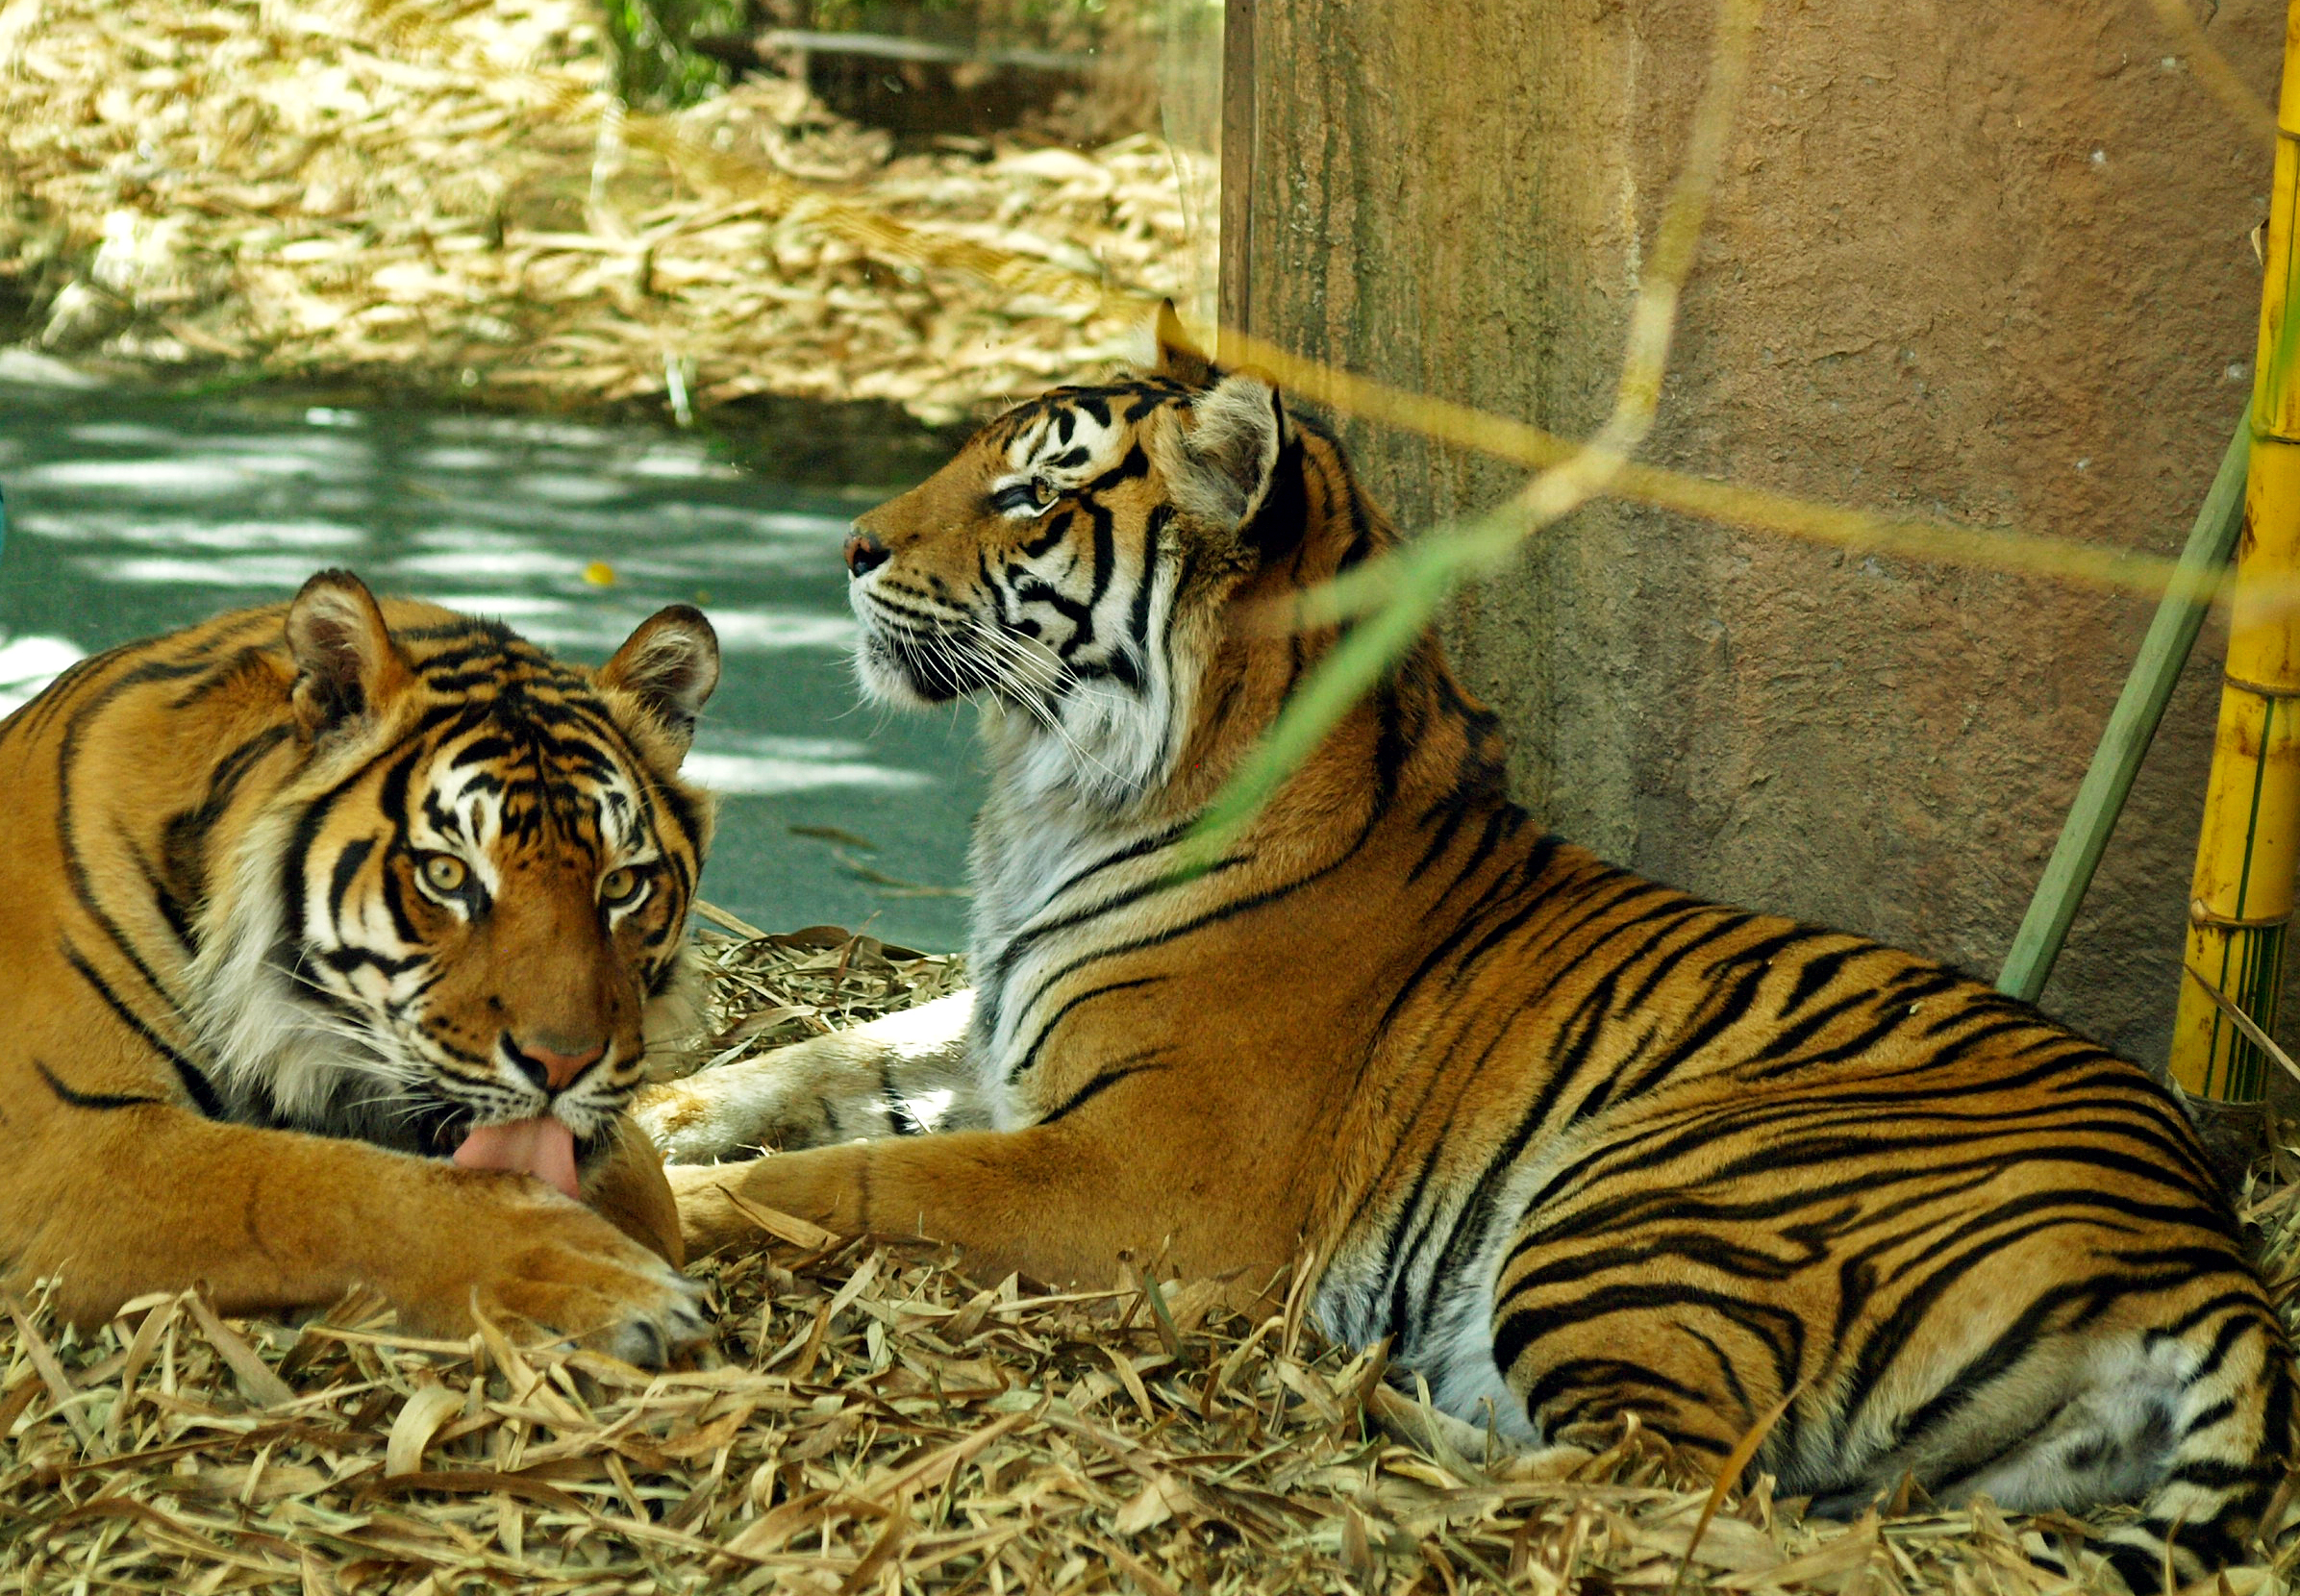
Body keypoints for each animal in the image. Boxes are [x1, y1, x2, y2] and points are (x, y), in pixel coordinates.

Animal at [0, 569, 717, 1365]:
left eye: (622, 885)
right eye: (446, 875)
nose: (564, 1065)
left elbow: (645, 1185)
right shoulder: (73, 1150)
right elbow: (325, 1190)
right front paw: (595, 1280)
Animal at [649, 308, 2295, 1584]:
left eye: (1028, 498)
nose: (852, 548)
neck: (1063, 795)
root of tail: (2212, 1253)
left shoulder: (1141, 1178)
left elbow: (856, 1181)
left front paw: (676, 1208)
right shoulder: (991, 1034)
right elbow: (808, 1064)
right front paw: (646, 1117)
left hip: (1651, 1199)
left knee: (1663, 1478)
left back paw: (1353, 1402)